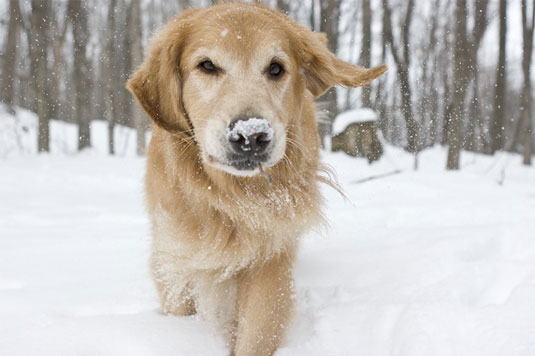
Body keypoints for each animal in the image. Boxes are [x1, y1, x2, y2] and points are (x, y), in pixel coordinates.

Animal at [126, 3, 386, 356]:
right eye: (207, 66)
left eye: (276, 69)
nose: (251, 135)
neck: (229, 196)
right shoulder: (175, 257)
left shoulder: (270, 253)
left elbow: (258, 330)